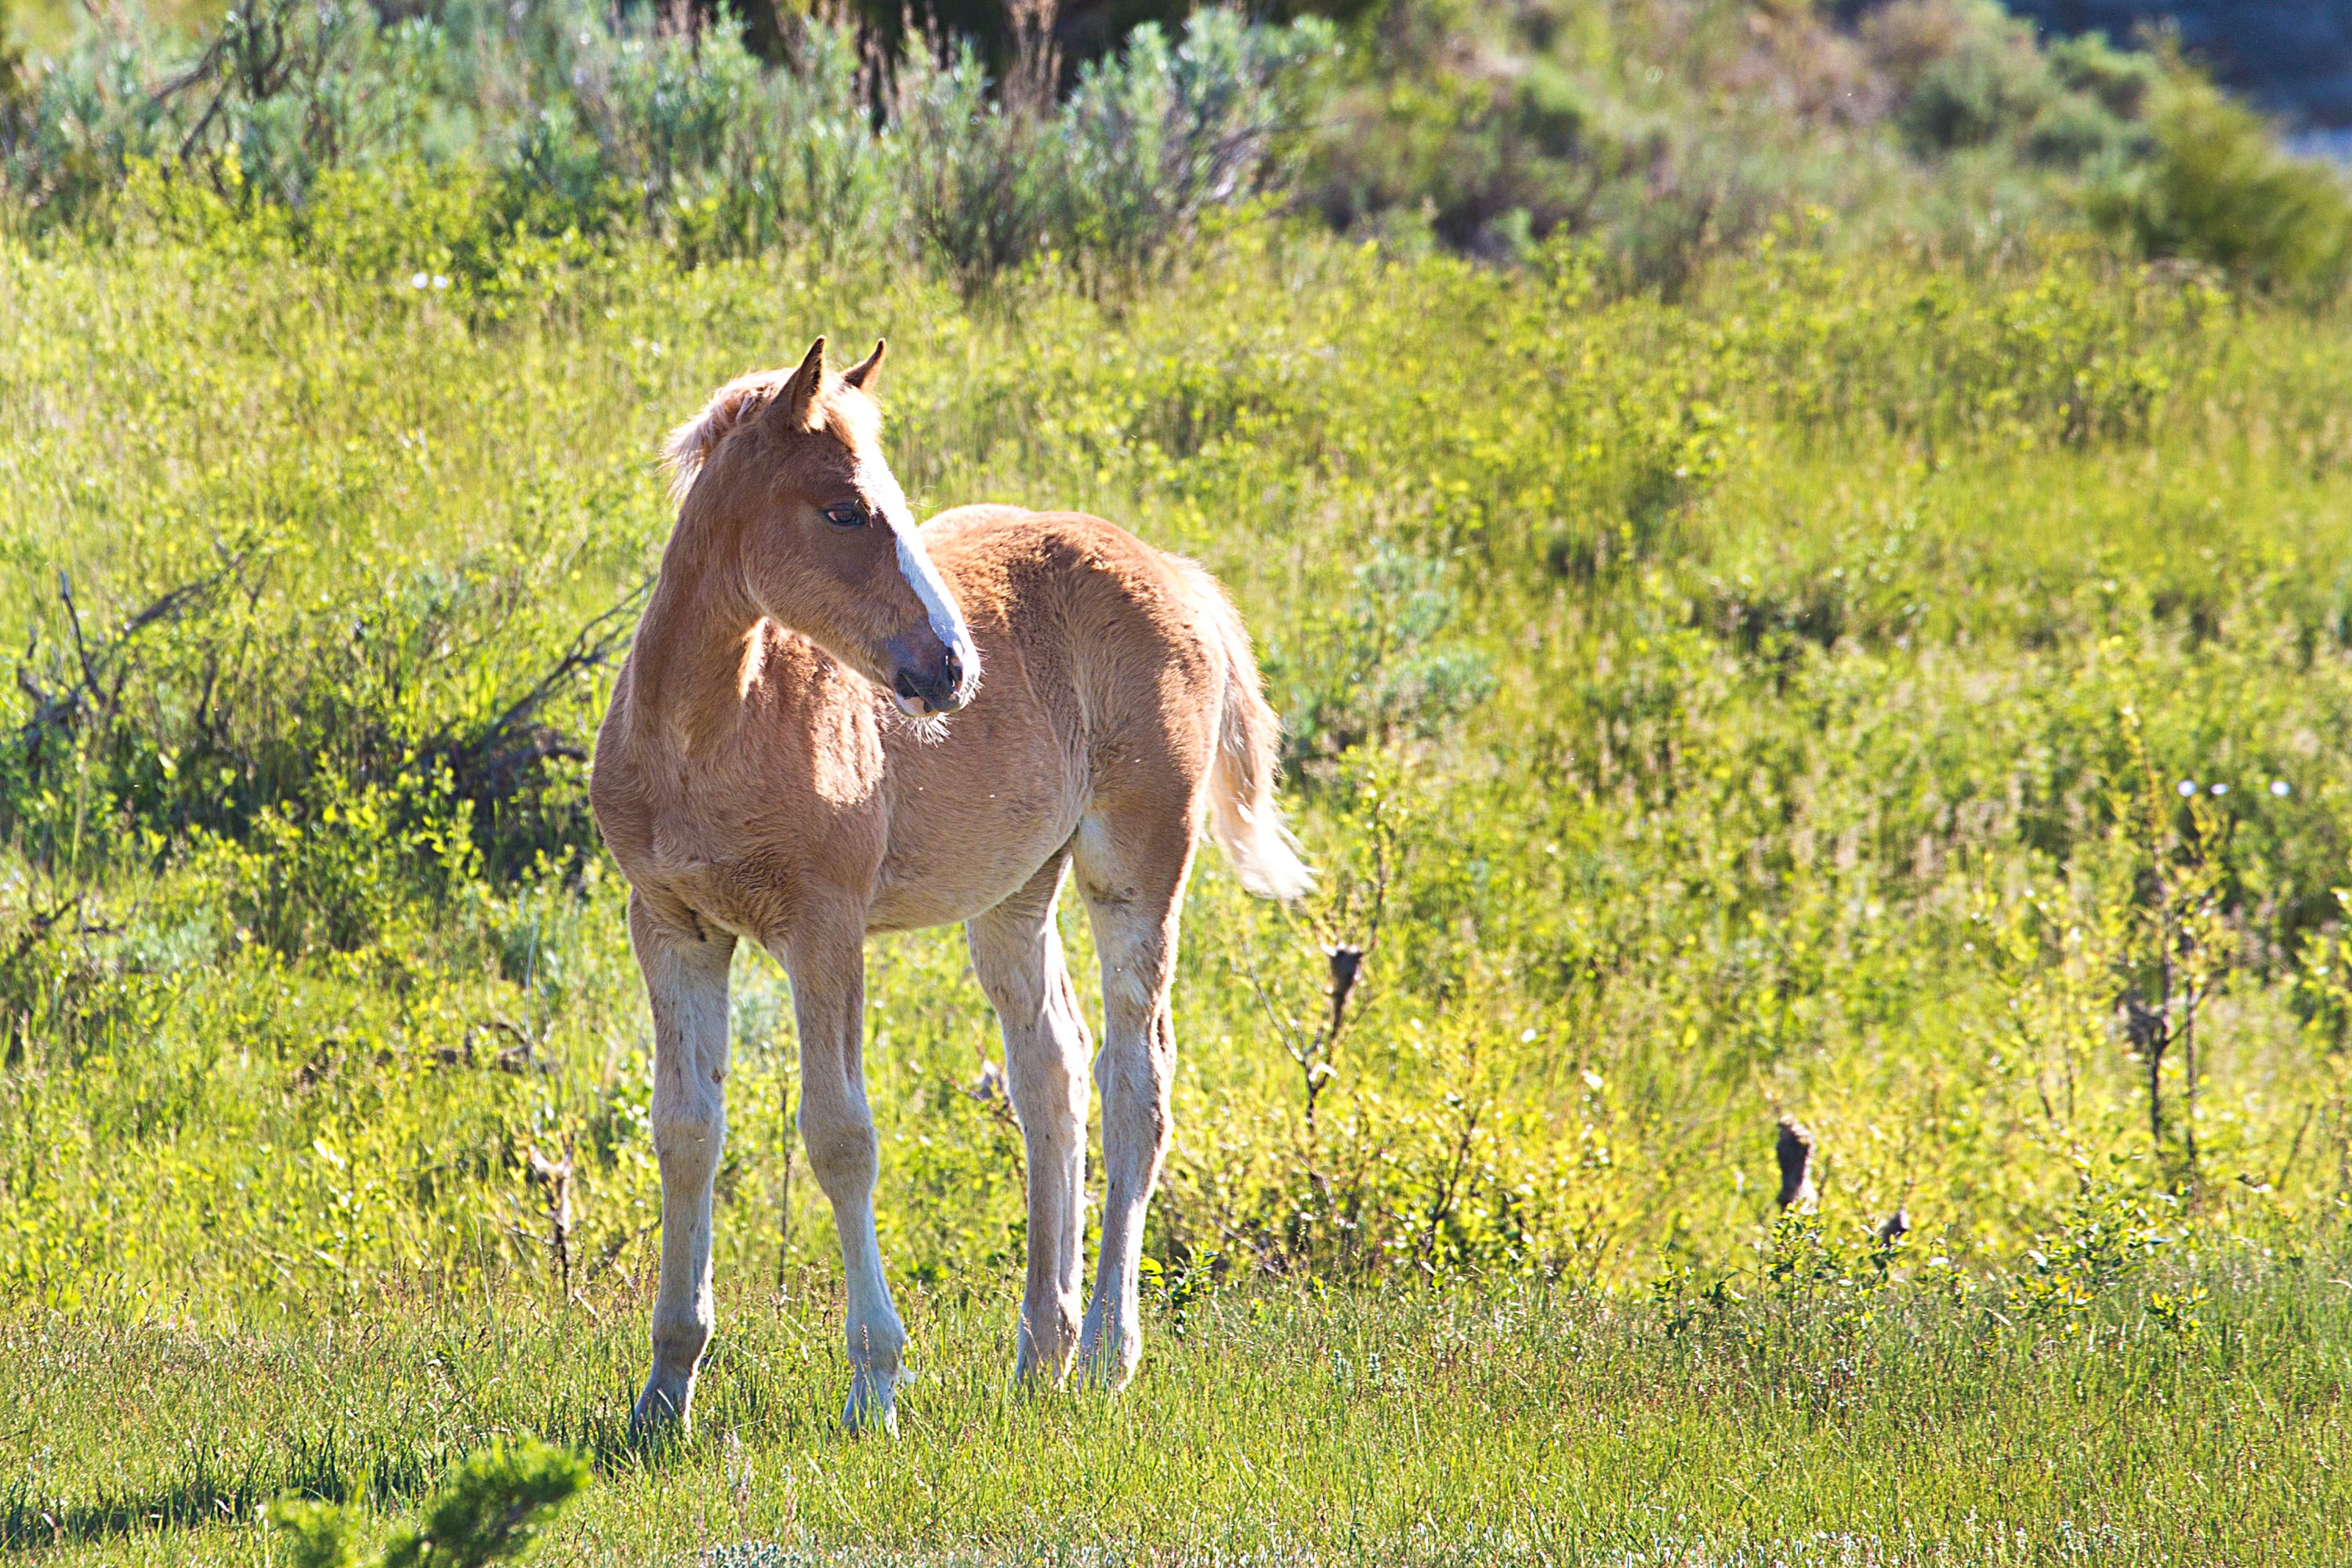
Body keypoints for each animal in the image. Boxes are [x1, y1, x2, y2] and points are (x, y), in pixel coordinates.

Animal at [589, 336, 1311, 1433]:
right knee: (1051, 1065)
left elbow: (839, 1136)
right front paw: (664, 1389)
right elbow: (684, 1133)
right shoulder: (671, 926)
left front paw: (875, 1385)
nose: (950, 668)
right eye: (845, 509)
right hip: (1013, 894)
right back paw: (1040, 1352)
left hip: (1136, 866)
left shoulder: (824, 927)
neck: (708, 732)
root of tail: (1179, 573)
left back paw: (1106, 1353)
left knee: (1135, 1082)